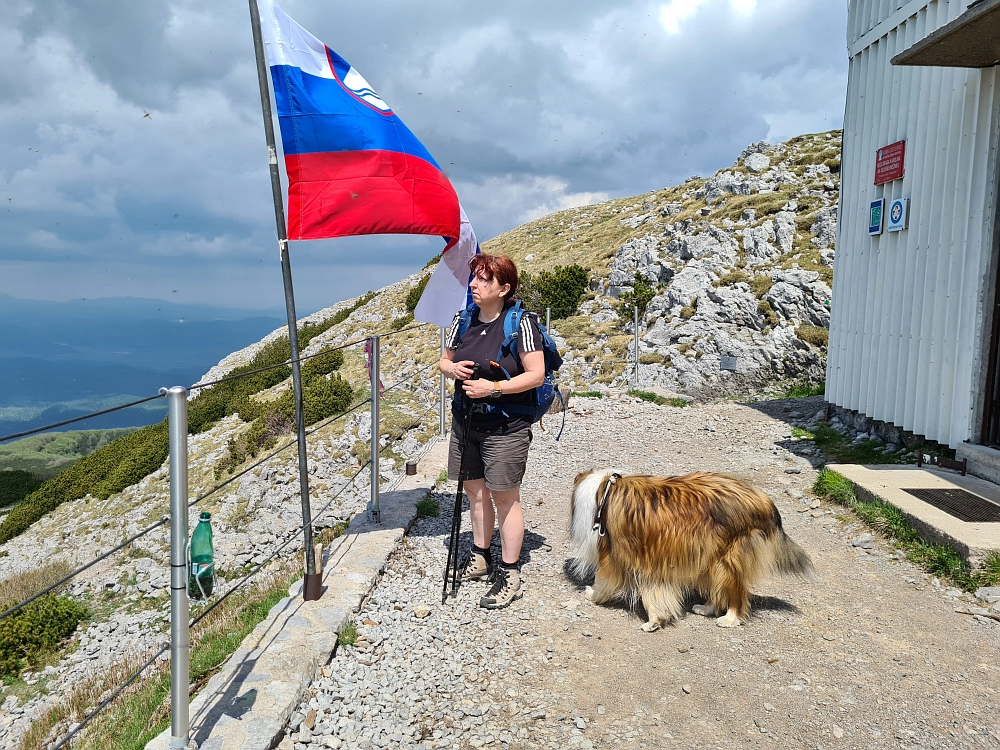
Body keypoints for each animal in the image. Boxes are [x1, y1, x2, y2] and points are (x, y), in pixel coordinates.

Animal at [572, 472, 812, 632]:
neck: (604, 493)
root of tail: (766, 502)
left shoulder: (616, 557)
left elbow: (604, 581)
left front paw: (593, 595)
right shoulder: (653, 558)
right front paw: (657, 619)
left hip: (728, 558)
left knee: (736, 592)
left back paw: (730, 618)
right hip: (710, 556)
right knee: (719, 589)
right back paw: (706, 608)